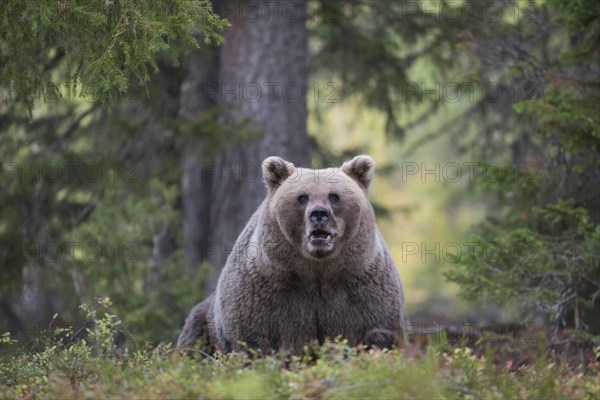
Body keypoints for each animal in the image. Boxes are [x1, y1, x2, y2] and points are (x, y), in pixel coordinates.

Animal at [176, 156, 406, 354]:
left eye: (334, 196)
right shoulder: (267, 293)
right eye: (302, 197)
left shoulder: (360, 289)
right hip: (202, 324)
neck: (317, 271)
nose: (319, 214)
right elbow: (254, 339)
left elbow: (376, 333)